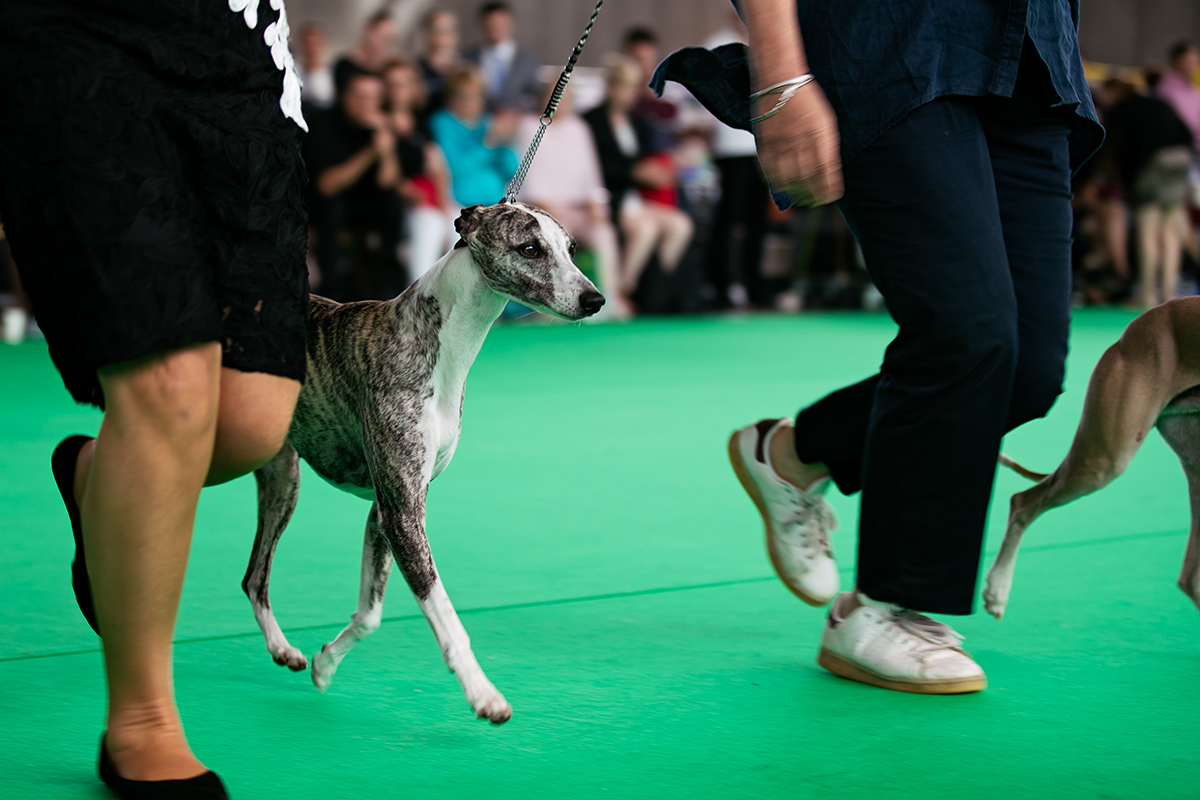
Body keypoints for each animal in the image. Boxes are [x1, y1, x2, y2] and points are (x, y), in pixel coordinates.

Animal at [240, 203, 604, 724]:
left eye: (572, 249)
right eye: (530, 248)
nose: (595, 299)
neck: (434, 346)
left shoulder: (389, 507)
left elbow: (371, 614)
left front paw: (325, 663)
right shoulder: (403, 514)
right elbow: (446, 615)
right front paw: (483, 693)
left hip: (282, 479)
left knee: (254, 577)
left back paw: (282, 649)